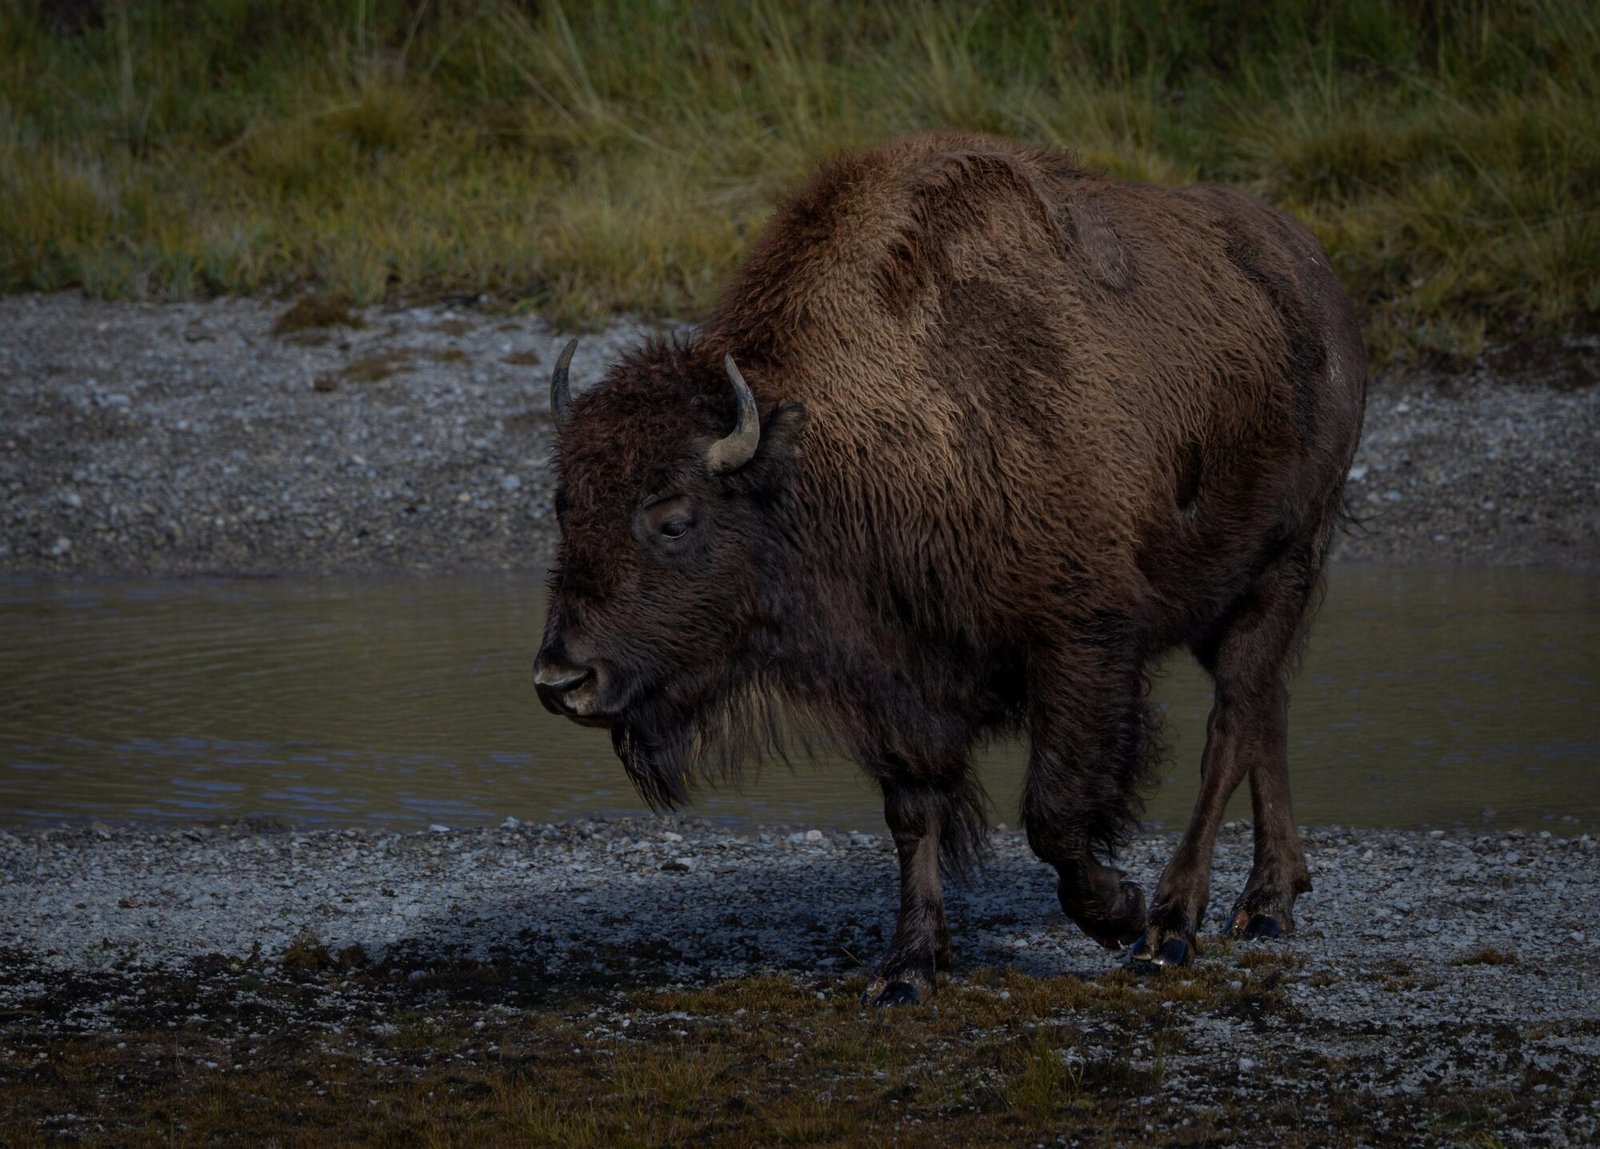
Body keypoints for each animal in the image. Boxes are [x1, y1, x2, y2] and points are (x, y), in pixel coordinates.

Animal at [534, 131, 1365, 1005]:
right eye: (562, 504)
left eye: (673, 517)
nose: (561, 679)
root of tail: (1318, 276)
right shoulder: (898, 678)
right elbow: (914, 812)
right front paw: (906, 967)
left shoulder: (1082, 644)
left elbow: (1055, 813)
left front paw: (1118, 910)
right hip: (1231, 598)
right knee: (1265, 709)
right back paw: (1269, 902)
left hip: (1283, 564)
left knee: (1231, 726)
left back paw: (1171, 927)